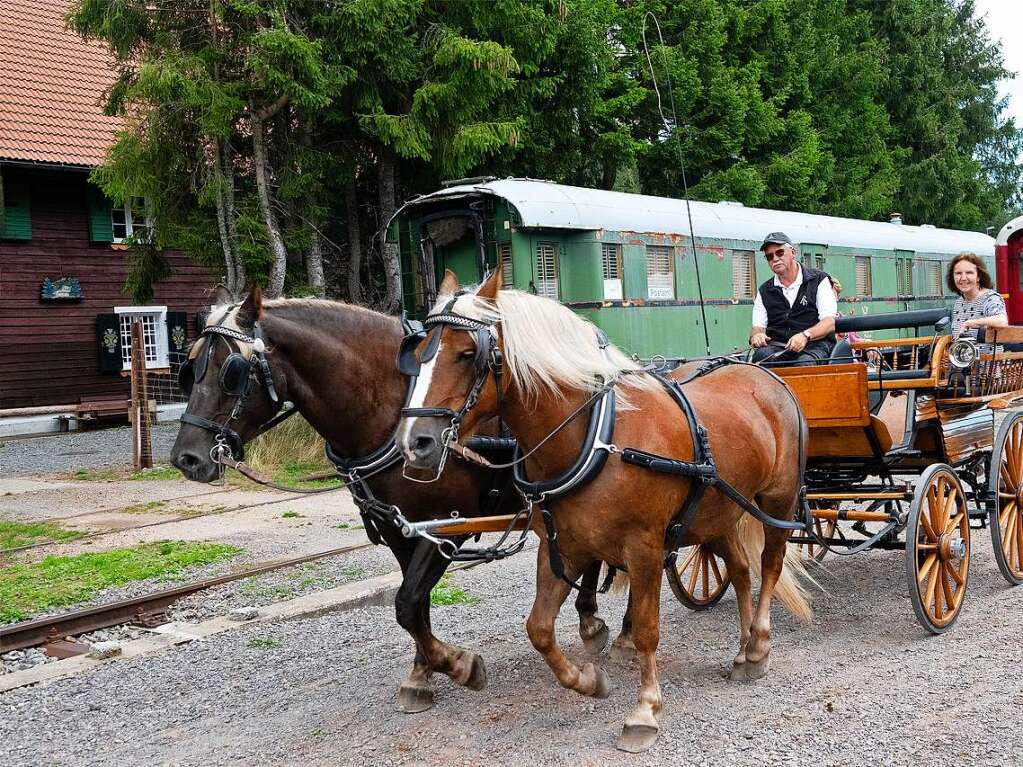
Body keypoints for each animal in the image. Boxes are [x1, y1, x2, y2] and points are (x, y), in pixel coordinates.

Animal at [170, 286, 613, 715]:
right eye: (190, 369)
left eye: (231, 371)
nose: (186, 458)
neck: (392, 405)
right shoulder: (400, 529)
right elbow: (415, 606)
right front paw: (422, 674)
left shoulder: (446, 527)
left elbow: (407, 601)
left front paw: (457, 664)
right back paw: (590, 619)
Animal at [398, 274, 814, 752]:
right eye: (419, 353)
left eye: (469, 354)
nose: (415, 443)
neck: (595, 437)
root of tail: (764, 373)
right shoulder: (563, 546)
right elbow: (539, 628)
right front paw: (588, 680)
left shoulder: (646, 549)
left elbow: (648, 629)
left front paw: (645, 709)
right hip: (718, 510)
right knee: (742, 570)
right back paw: (745, 650)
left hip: (778, 500)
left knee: (769, 564)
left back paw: (760, 643)